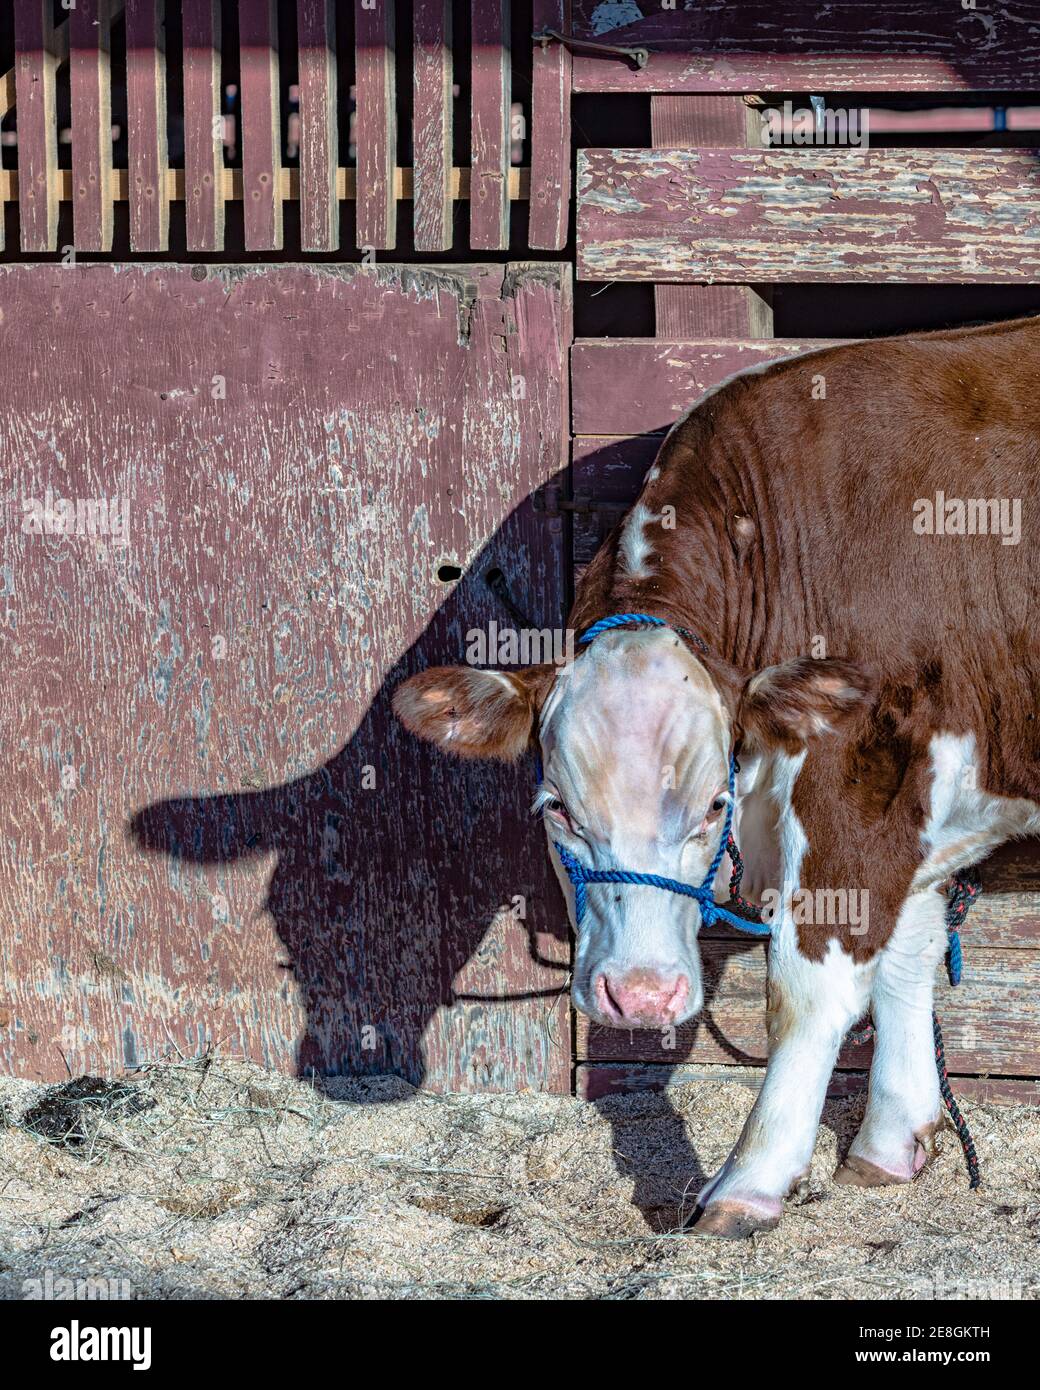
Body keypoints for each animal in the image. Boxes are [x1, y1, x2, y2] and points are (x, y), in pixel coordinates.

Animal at [393, 312, 1040, 1237]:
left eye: (711, 806)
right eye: (557, 809)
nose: (641, 998)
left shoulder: (858, 781)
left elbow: (810, 989)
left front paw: (748, 1181)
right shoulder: (910, 795)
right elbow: (906, 954)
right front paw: (889, 1142)